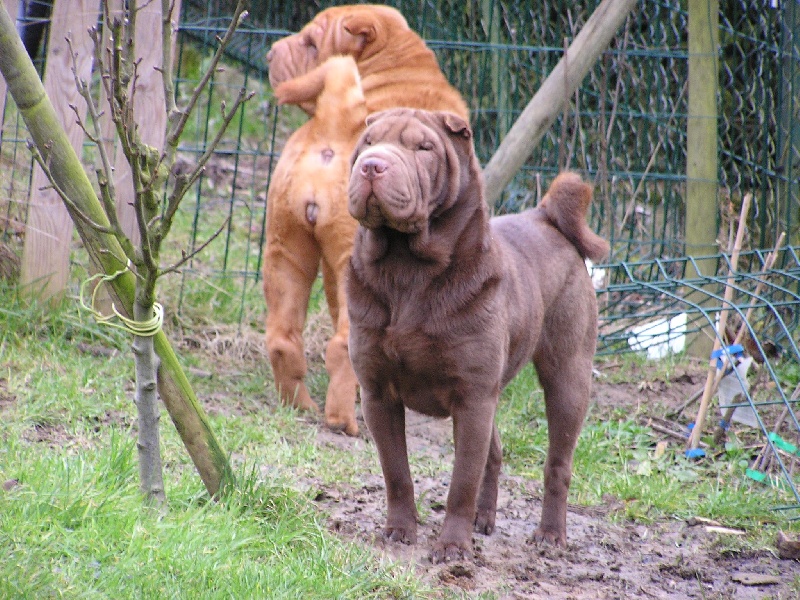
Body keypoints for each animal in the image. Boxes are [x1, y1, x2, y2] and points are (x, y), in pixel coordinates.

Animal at [266, 5, 468, 436]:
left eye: (310, 43)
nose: (271, 53)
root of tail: (337, 122)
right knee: (342, 346)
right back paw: (343, 421)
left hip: (286, 249)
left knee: (283, 338)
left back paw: (298, 405)